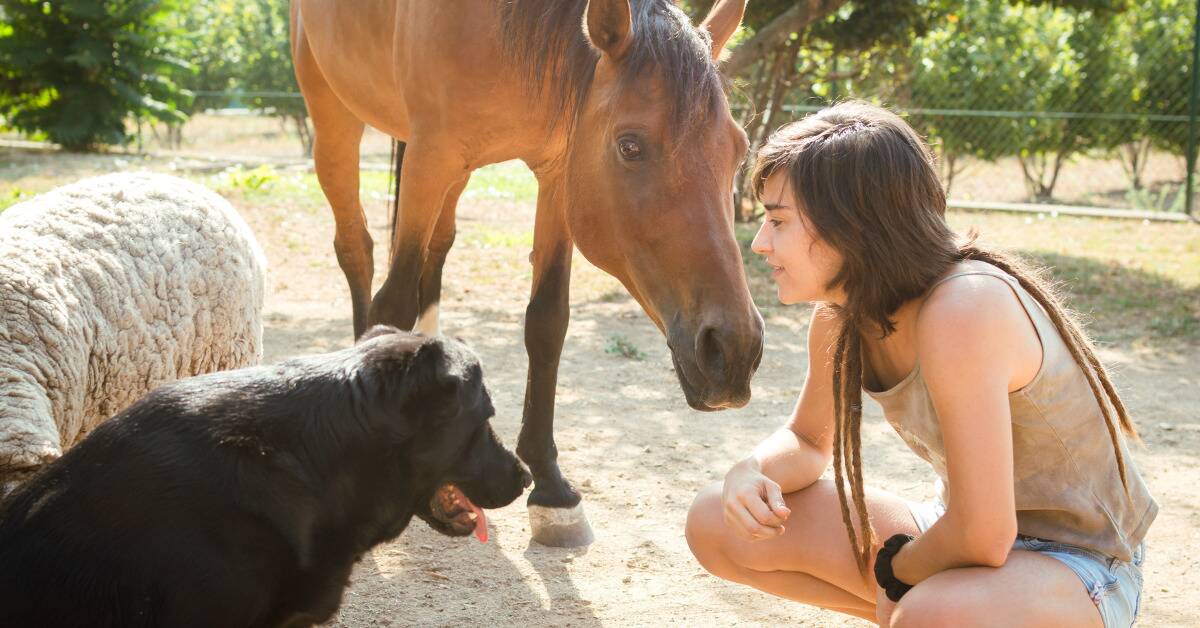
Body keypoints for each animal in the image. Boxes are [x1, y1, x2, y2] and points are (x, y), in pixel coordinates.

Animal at [289, 0, 758, 547]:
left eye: (739, 149)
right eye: (631, 146)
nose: (735, 350)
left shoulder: (558, 170)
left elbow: (547, 321)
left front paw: (552, 490)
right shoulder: (431, 156)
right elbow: (394, 301)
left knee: (437, 251)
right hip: (336, 120)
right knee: (356, 250)